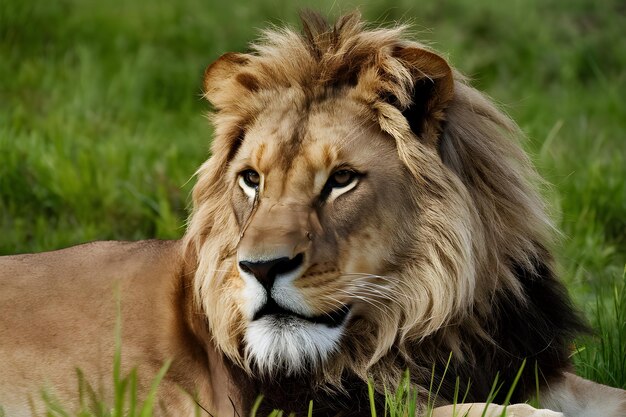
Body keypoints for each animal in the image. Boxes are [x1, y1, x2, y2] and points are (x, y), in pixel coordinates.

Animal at [1, 9, 624, 416]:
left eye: (341, 180)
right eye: (251, 180)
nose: (261, 268)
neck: (422, 323)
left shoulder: (513, 365)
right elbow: (474, 412)